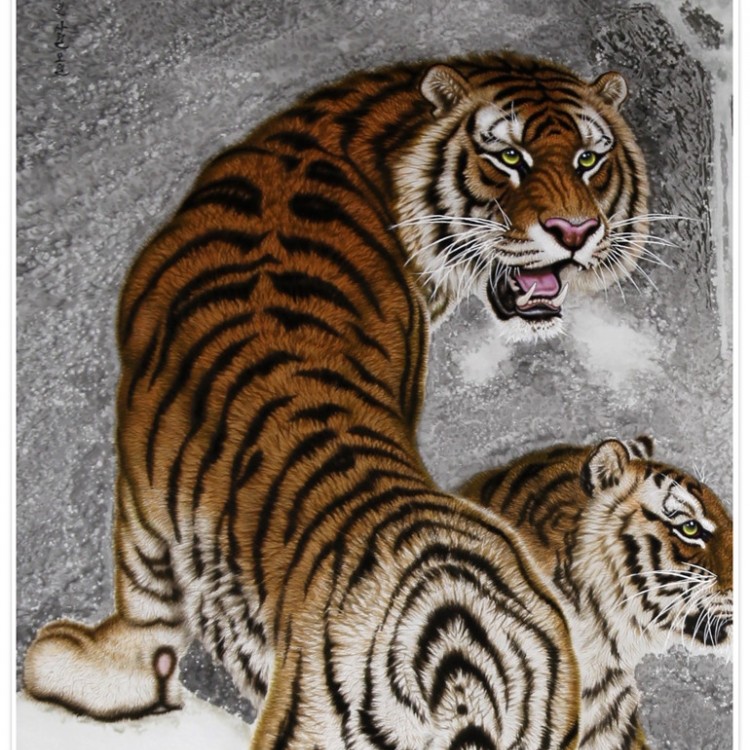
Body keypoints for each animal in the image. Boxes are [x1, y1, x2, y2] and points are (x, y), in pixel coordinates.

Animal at [24, 51, 650, 748]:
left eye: (588, 160)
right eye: (509, 157)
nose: (575, 229)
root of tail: (459, 642)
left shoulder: (140, 467)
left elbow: (142, 592)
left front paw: (92, 669)